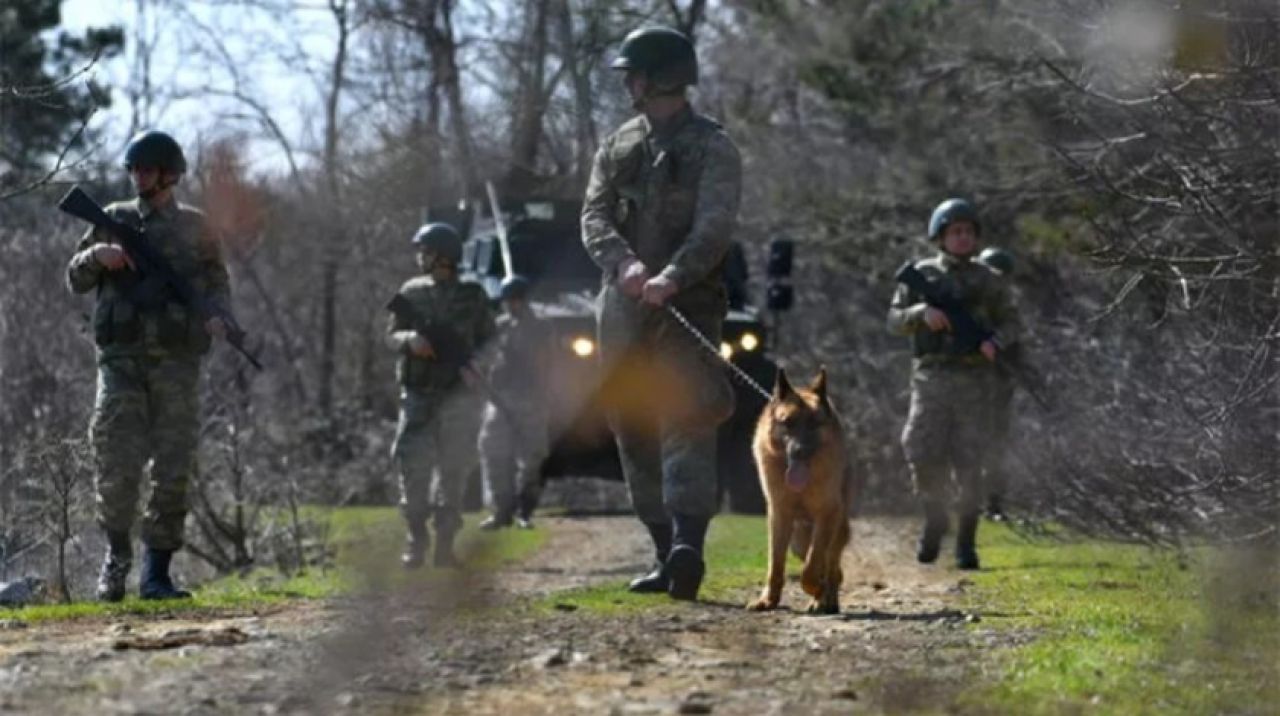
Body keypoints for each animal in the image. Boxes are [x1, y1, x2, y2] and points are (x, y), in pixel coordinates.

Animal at [742, 368, 849, 617]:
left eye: (814, 424)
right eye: (788, 423)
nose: (799, 451)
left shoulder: (826, 515)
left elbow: (811, 568)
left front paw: (818, 590)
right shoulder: (779, 516)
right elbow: (775, 564)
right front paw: (768, 600)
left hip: (835, 529)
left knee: (832, 567)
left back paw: (826, 600)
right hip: (798, 542)